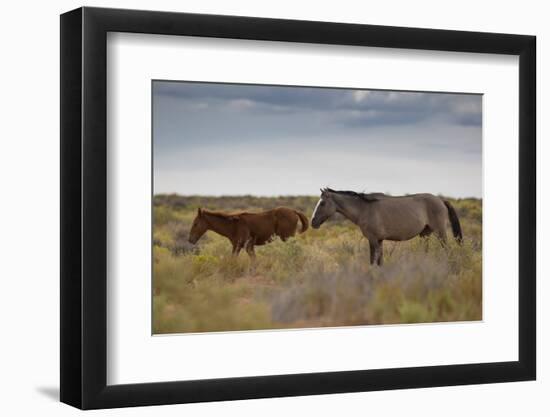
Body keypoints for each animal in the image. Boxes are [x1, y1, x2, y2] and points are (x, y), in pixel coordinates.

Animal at [312, 188, 464, 264]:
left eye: (322, 203)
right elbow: (380, 261)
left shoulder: (373, 239)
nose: (313, 222)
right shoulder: (379, 240)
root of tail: (441, 200)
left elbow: (374, 261)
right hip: (425, 234)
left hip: (440, 232)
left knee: (447, 250)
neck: (364, 209)